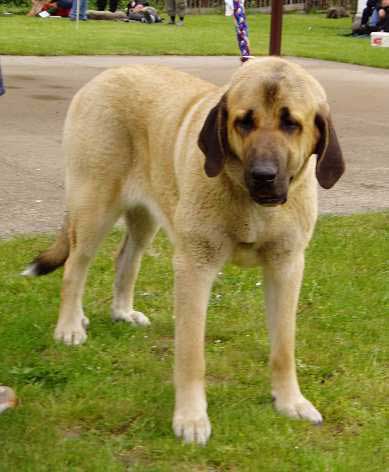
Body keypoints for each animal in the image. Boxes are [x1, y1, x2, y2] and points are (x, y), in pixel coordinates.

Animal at [24, 57, 344, 444]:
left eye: (291, 123)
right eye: (243, 121)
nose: (263, 175)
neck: (249, 201)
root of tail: (104, 75)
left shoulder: (286, 266)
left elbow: (284, 346)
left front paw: (290, 402)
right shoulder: (195, 265)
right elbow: (192, 354)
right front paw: (191, 418)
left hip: (145, 217)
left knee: (125, 260)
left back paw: (121, 312)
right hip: (93, 206)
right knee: (75, 267)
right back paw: (70, 326)